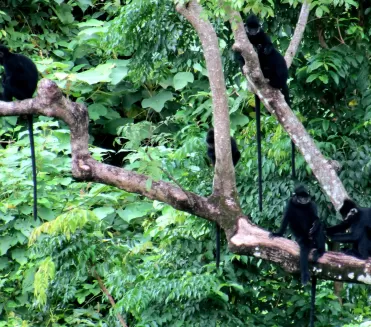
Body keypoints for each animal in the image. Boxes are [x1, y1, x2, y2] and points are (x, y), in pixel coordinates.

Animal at [237, 14, 298, 210]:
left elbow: (269, 45)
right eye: (249, 28)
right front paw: (245, 59)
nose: (252, 31)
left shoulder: (262, 35)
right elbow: (237, 54)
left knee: (274, 56)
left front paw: (265, 47)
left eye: (256, 28)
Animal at [270, 186, 326, 327]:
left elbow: (316, 219)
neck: (301, 206)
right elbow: (286, 219)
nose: (304, 200)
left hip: (313, 239)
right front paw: (278, 233)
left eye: (305, 197)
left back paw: (320, 250)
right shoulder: (290, 204)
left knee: (318, 229)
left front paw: (316, 223)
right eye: (300, 197)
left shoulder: (311, 204)